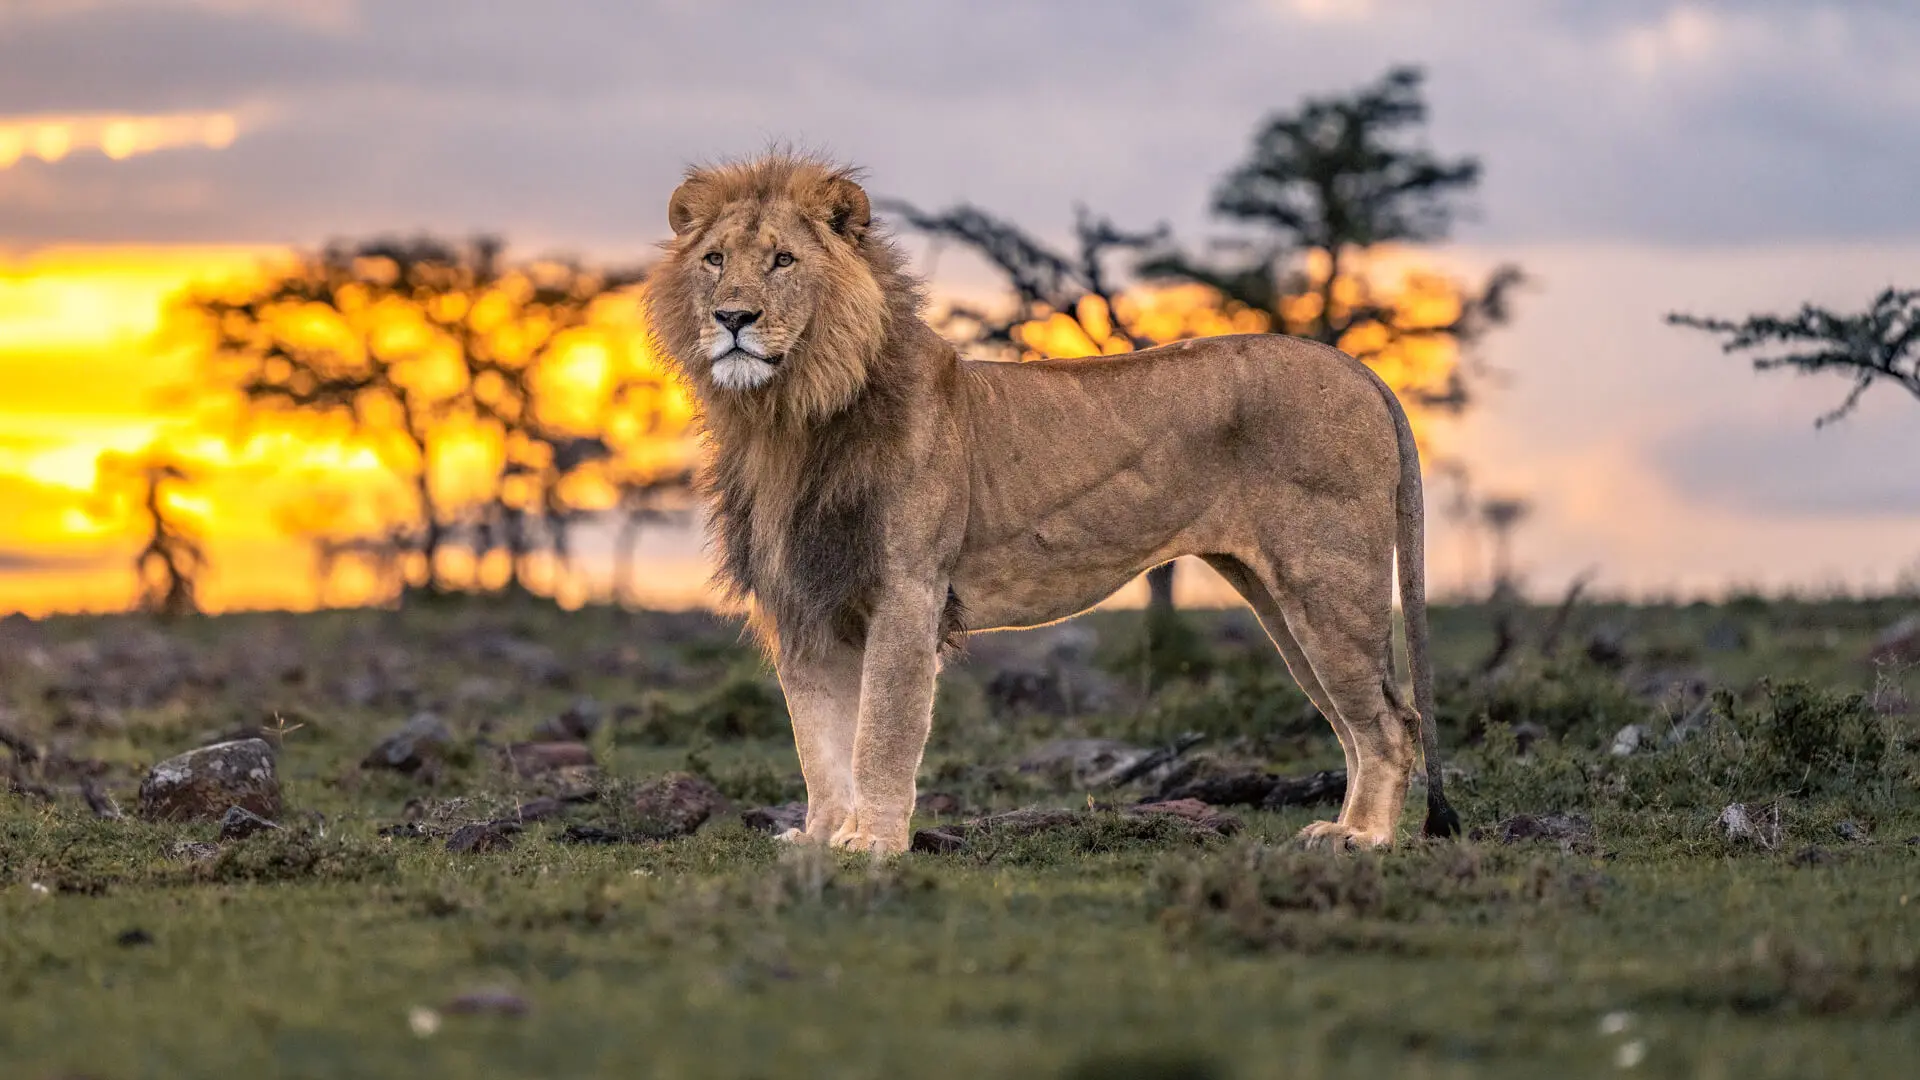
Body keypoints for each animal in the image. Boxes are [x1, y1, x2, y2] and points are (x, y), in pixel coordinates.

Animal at [644, 152, 1460, 855]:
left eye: (783, 260)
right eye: (715, 260)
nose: (733, 318)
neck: (787, 415)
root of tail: (1357, 367)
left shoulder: (908, 589)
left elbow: (880, 730)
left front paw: (871, 842)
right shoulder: (802, 602)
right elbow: (817, 739)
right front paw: (819, 837)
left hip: (1327, 582)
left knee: (1390, 721)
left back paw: (1364, 839)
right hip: (1277, 597)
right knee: (1354, 722)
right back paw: (1343, 827)